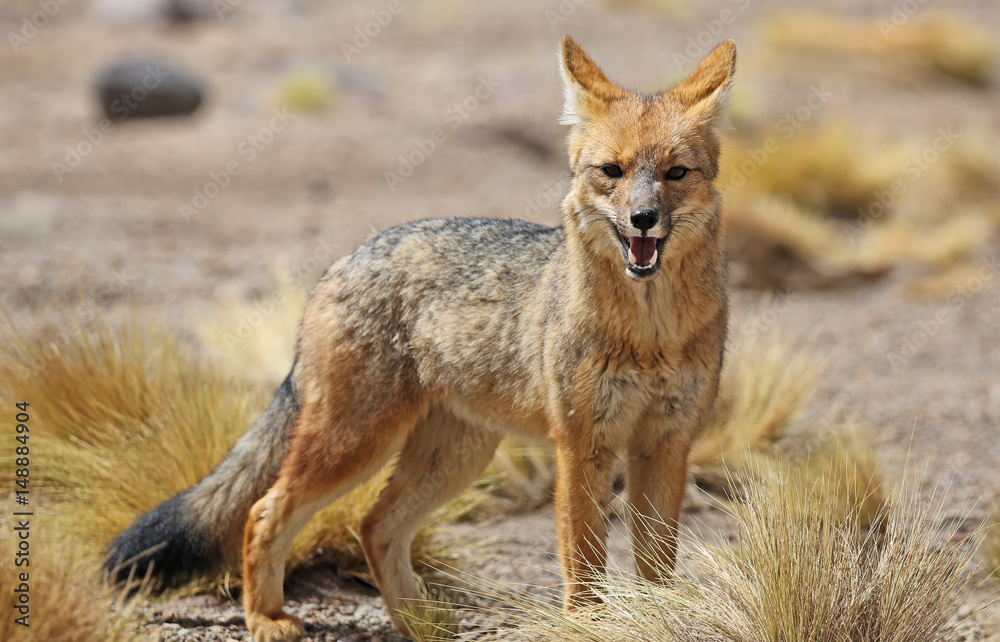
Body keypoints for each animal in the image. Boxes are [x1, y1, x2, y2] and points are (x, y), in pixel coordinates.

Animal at [107, 36, 735, 641]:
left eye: (675, 173)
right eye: (612, 170)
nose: (643, 218)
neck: (650, 334)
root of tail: (344, 261)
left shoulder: (666, 443)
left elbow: (656, 562)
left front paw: (659, 616)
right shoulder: (583, 444)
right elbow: (583, 561)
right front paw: (588, 626)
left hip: (454, 455)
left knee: (375, 524)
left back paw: (417, 622)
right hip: (356, 442)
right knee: (266, 510)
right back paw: (266, 619)